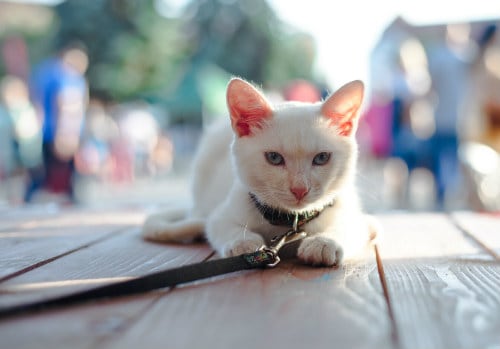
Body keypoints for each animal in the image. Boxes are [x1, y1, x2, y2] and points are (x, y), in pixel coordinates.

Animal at [143, 77, 376, 266]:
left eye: (321, 158)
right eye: (274, 158)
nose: (300, 189)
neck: (288, 221)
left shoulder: (347, 210)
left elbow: (351, 226)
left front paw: (324, 242)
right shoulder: (222, 214)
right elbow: (220, 225)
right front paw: (243, 241)